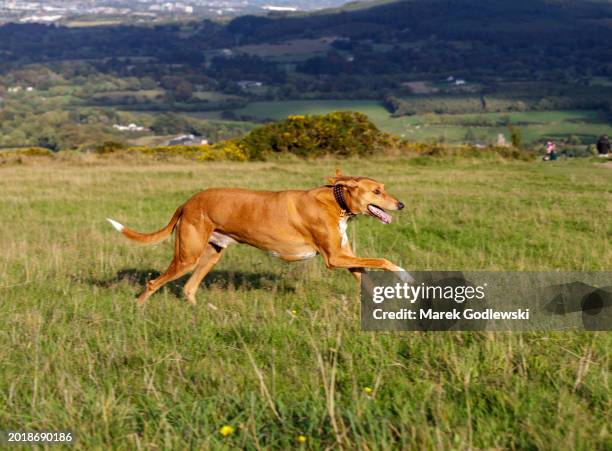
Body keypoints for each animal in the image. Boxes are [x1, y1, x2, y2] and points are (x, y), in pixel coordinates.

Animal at [106, 170, 412, 308]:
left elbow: (366, 276)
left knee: (189, 288)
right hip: (187, 256)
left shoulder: (345, 257)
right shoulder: (334, 258)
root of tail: (187, 202)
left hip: (211, 255)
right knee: (153, 282)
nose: (401, 205)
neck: (337, 201)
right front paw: (405, 275)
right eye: (376, 191)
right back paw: (138, 309)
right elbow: (383, 260)